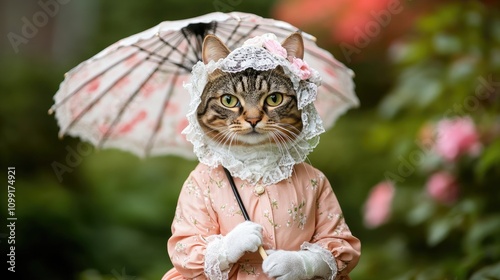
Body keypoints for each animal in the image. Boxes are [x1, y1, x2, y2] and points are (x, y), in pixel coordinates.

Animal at [161, 33, 360, 280]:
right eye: (229, 100)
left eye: (274, 99)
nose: (253, 119)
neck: (256, 163)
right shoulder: (192, 194)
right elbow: (188, 245)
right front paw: (241, 238)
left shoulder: (325, 193)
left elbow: (334, 246)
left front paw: (289, 264)